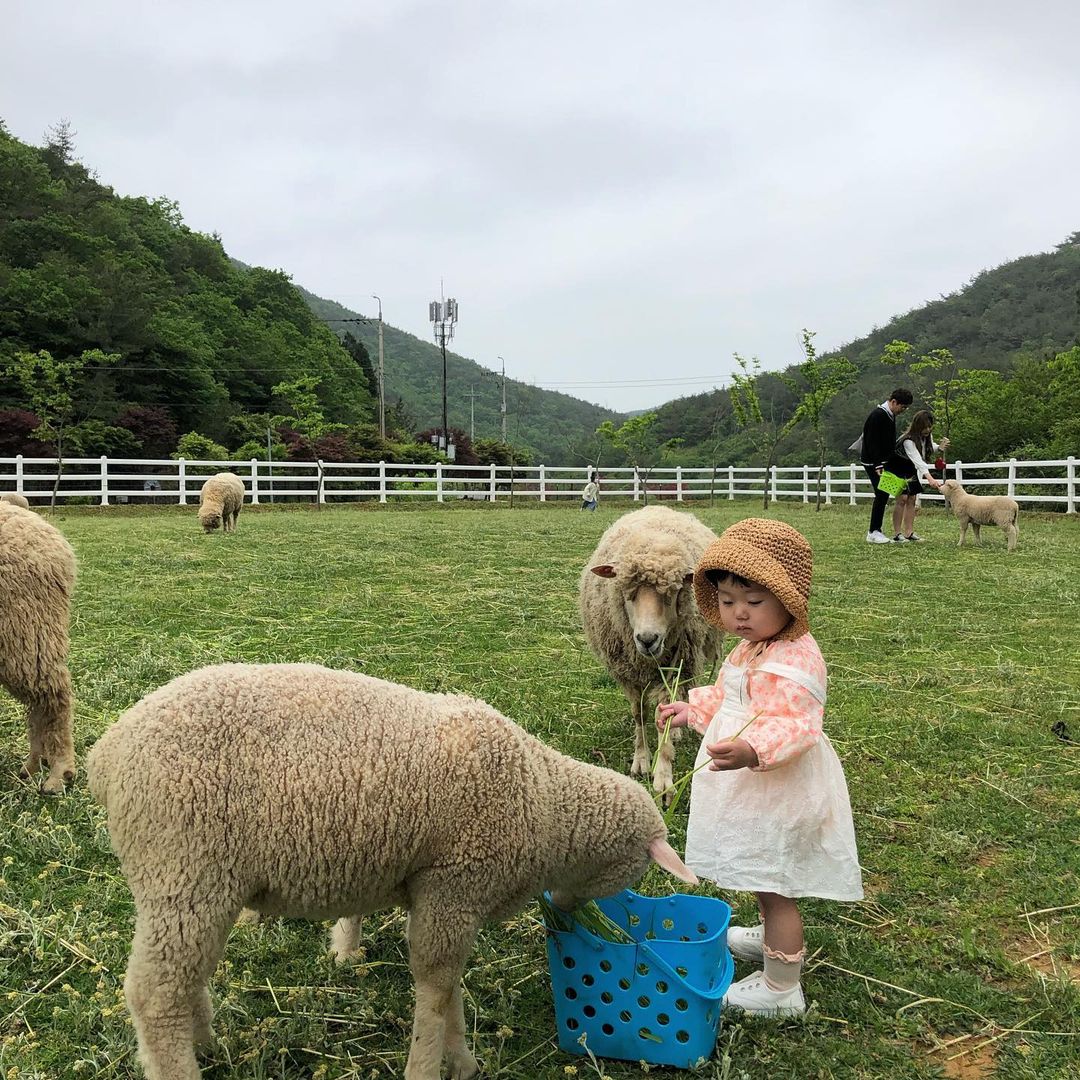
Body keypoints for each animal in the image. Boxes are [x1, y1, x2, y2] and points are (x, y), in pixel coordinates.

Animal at [87, 662, 695, 1080]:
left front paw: (461, 1060)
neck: (546, 804)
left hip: (190, 885)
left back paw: (206, 1043)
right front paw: (430, 1064)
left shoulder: (445, 897)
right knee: (155, 995)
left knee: (183, 979)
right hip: (184, 871)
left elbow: (449, 988)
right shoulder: (456, 884)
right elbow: (435, 985)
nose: (567, 915)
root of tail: (107, 752)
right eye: (634, 870)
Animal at [580, 506, 723, 799]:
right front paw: (641, 760)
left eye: (674, 591)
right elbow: (639, 715)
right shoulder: (628, 672)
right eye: (628, 591)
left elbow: (662, 717)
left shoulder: (674, 669)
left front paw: (663, 778)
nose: (648, 639)